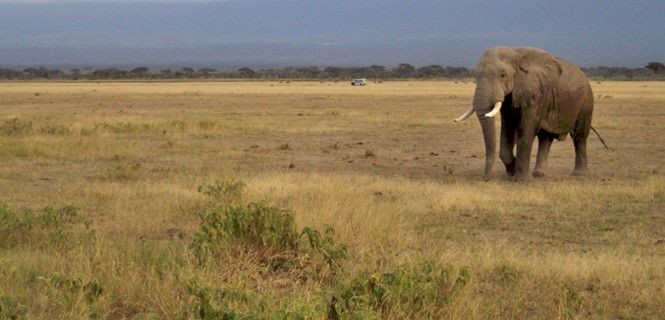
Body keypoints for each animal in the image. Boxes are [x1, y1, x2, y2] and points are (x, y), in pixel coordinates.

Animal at [454, 45, 592, 180]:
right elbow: (507, 128)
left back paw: (579, 174)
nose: (485, 178)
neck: (514, 54)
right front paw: (512, 171)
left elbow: (526, 130)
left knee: (579, 136)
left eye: (503, 75)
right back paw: (539, 174)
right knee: (545, 138)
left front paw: (520, 179)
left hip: (586, 100)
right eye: (476, 76)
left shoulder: (535, 93)